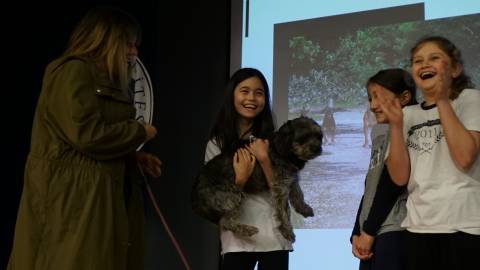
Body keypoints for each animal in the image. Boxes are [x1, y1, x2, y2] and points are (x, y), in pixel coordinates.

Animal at [191, 117, 322, 242]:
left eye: (318, 136)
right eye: (303, 137)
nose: (317, 148)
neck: (281, 149)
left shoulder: (291, 178)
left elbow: (298, 194)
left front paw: (303, 208)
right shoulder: (281, 185)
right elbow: (284, 211)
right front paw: (287, 230)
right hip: (233, 195)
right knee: (225, 222)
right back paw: (247, 230)